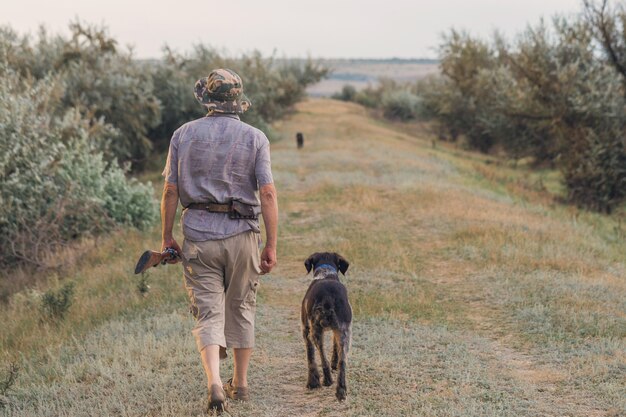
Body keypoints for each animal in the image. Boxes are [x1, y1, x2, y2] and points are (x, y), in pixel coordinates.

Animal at [302, 250, 352, 400]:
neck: (326, 273)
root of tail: (329, 297)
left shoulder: (305, 330)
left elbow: (311, 356)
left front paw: (313, 382)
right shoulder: (338, 330)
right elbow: (335, 348)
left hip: (315, 331)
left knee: (323, 357)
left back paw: (328, 379)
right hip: (345, 333)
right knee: (343, 361)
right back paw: (341, 389)